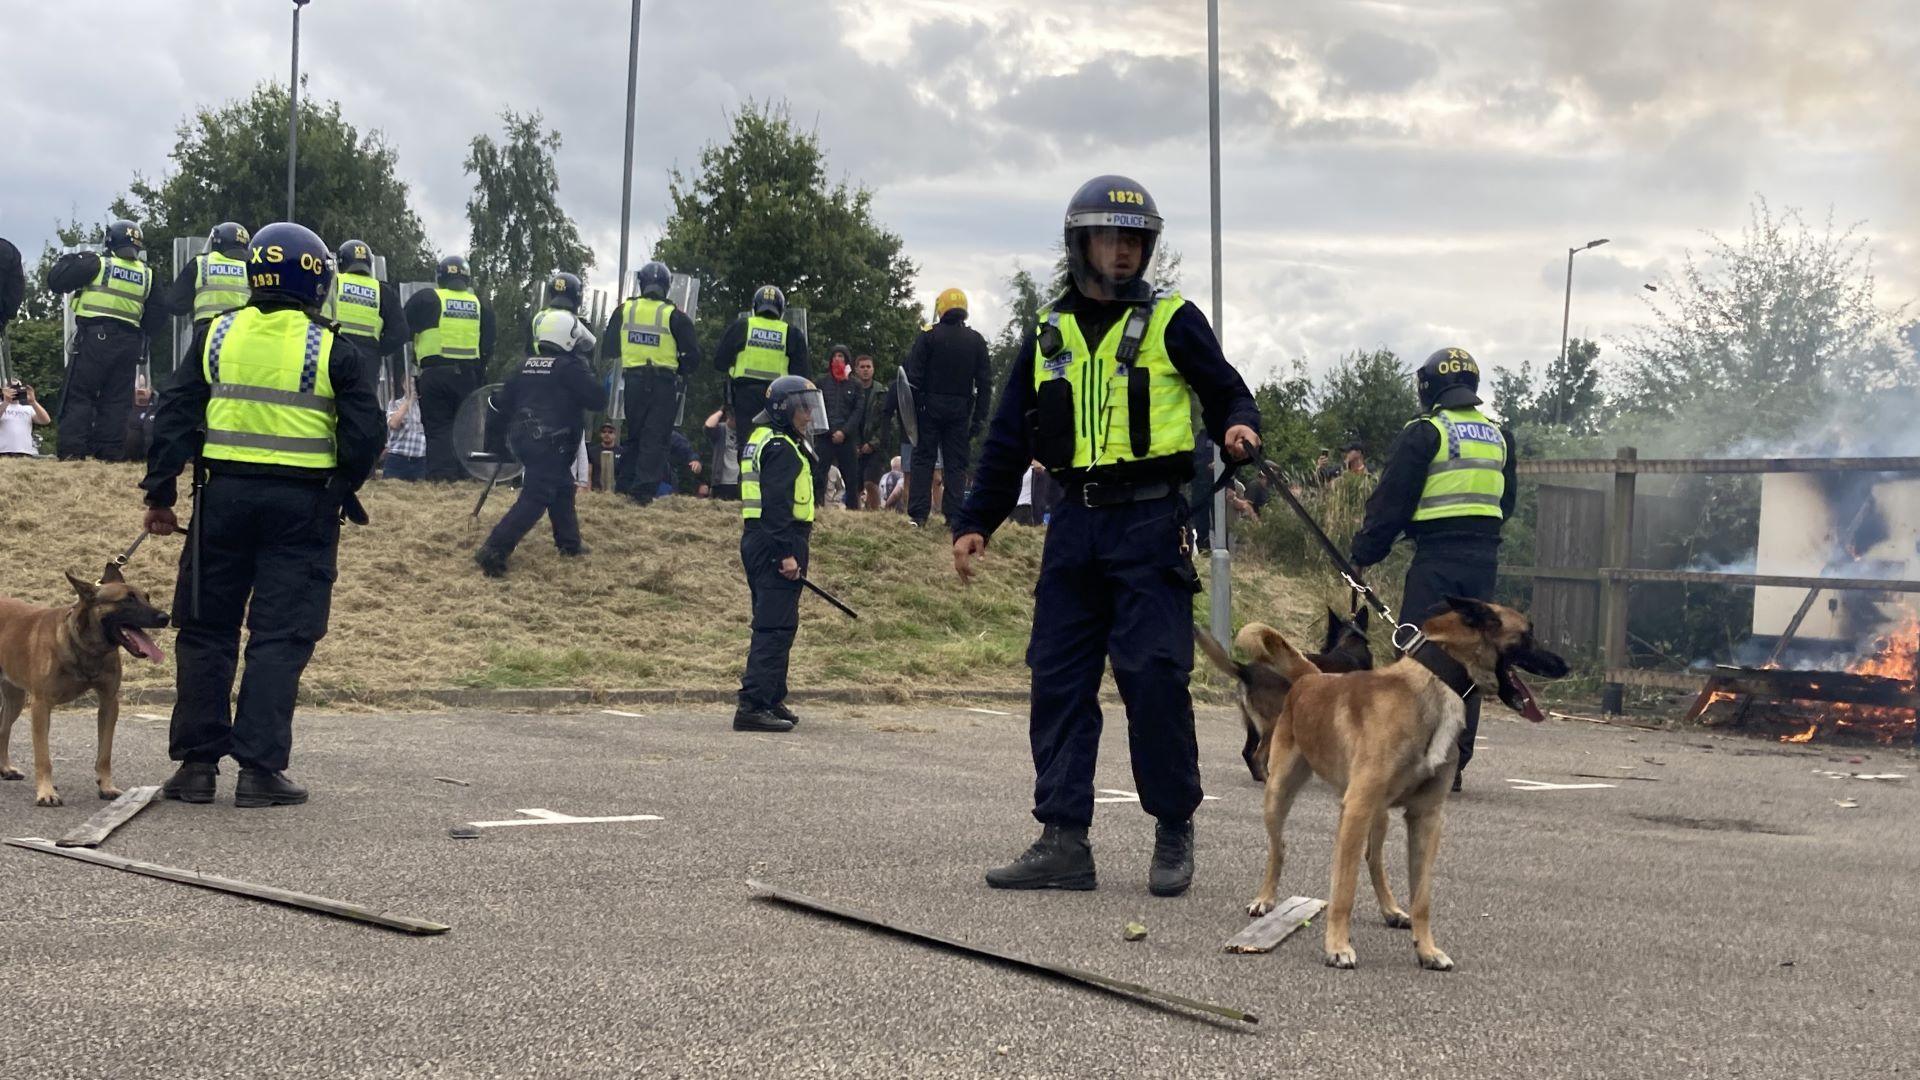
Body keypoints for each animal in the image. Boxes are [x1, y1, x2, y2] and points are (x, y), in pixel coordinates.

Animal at [0, 557, 168, 803]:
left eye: (147, 597)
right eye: (127, 600)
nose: (166, 617)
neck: (85, 646)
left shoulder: (109, 703)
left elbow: (105, 754)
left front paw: (106, 786)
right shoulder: (41, 706)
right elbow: (43, 757)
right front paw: (46, 791)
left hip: (15, 699)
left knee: (3, 729)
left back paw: (5, 768)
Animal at [1190, 611, 1374, 776]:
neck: (1350, 648)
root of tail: (1246, 670)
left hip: (1255, 724)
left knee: (1247, 752)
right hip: (1274, 722)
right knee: (1258, 757)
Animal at [1236, 591, 1566, 972]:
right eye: (1528, 634)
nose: (1565, 666)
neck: (1433, 687)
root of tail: (1311, 677)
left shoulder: (1426, 819)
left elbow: (1422, 898)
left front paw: (1427, 950)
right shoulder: (1357, 809)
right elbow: (1344, 890)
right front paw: (1338, 946)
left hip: (1377, 816)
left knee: (1373, 858)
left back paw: (1391, 909)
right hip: (1281, 795)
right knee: (1279, 849)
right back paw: (1265, 899)